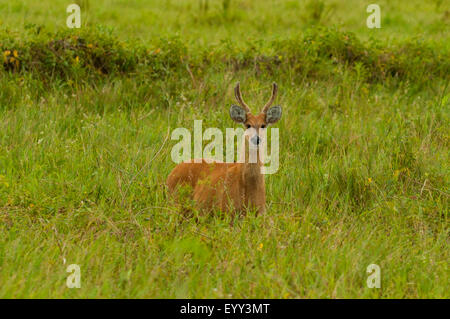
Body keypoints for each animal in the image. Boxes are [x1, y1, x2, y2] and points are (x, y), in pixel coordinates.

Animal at [167, 82, 284, 216]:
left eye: (263, 125)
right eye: (248, 125)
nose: (256, 139)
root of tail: (170, 175)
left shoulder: (262, 212)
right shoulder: (226, 210)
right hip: (176, 202)